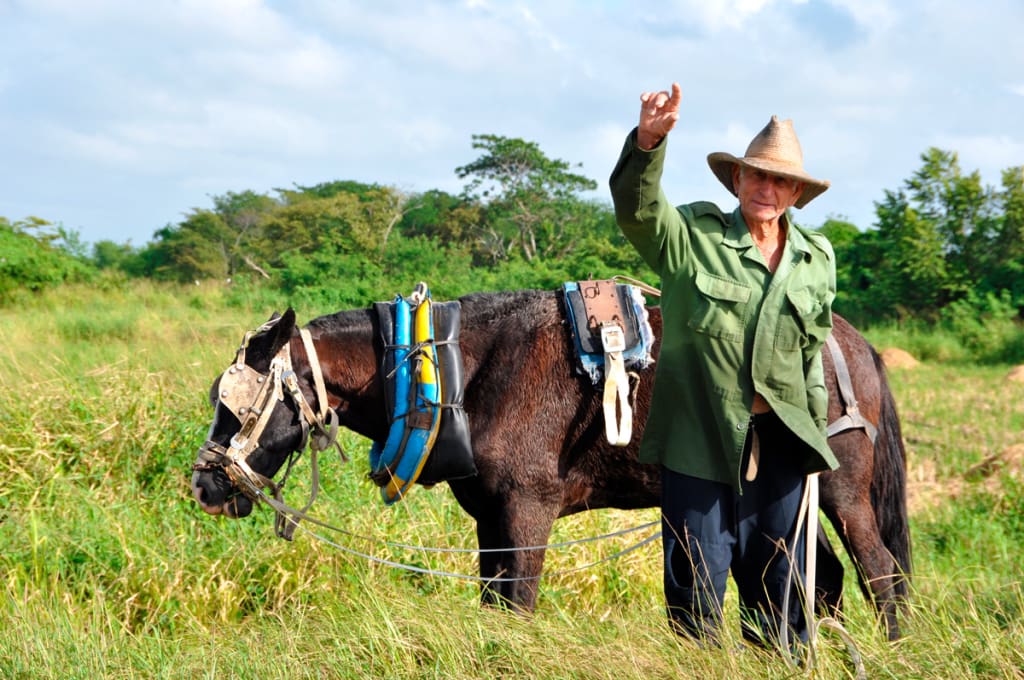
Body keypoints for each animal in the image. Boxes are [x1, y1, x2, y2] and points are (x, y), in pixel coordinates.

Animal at [188, 288, 909, 639]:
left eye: (235, 406)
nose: (204, 483)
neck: (459, 368)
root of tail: (855, 344)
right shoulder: (489, 520)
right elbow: (493, 603)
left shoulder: (528, 511)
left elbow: (520, 603)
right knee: (823, 579)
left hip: (841, 492)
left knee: (880, 574)